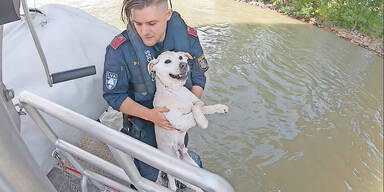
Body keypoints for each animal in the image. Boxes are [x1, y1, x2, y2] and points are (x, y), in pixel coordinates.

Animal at [148, 50, 228, 190]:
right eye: (167, 61)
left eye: (180, 57)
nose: (184, 64)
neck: (176, 91)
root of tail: (180, 156)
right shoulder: (178, 121)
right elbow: (194, 111)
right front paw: (203, 122)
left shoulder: (197, 101)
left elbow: (200, 107)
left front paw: (220, 108)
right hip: (173, 172)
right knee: (172, 185)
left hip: (192, 171)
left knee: (196, 186)